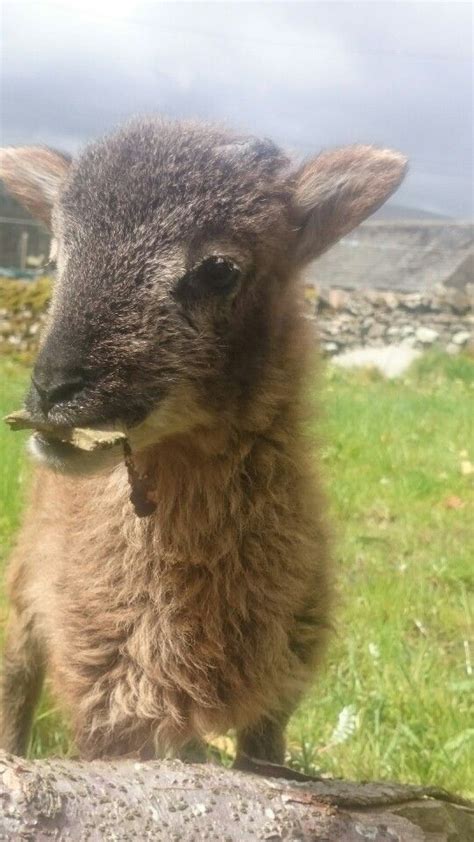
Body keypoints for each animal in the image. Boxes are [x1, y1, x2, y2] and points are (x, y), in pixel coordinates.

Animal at [0, 120, 408, 760]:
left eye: (219, 270)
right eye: (58, 256)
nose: (50, 387)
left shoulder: (277, 695)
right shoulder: (109, 705)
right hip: (23, 589)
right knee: (16, 678)